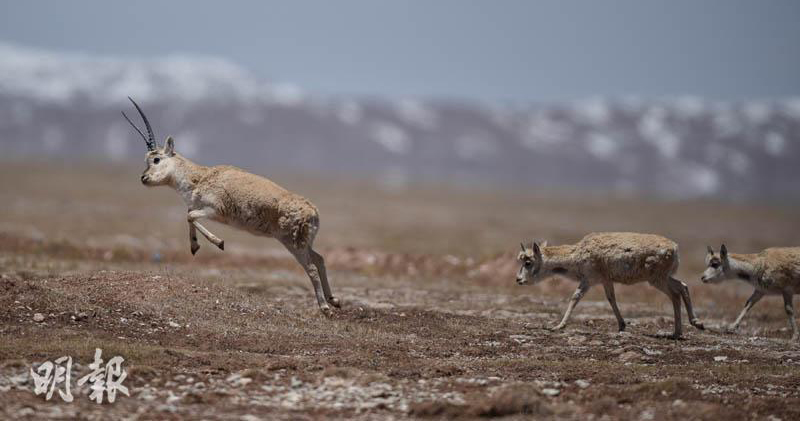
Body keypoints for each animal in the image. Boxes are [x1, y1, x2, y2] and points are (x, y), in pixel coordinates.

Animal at [123, 97, 342, 314]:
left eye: (156, 159)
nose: (143, 178)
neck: (200, 178)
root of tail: (313, 212)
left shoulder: (214, 210)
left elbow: (190, 215)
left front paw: (219, 243)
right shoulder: (202, 209)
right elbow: (189, 214)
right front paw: (194, 247)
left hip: (293, 243)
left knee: (311, 267)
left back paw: (325, 307)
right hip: (302, 242)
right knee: (320, 259)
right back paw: (334, 300)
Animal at [516, 231, 704, 336]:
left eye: (528, 262)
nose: (518, 280)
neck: (575, 255)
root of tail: (675, 249)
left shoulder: (589, 279)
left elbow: (575, 297)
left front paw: (558, 326)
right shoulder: (606, 280)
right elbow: (611, 298)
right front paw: (622, 325)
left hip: (657, 279)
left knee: (675, 293)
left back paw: (684, 328)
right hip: (663, 277)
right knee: (683, 286)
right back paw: (684, 328)